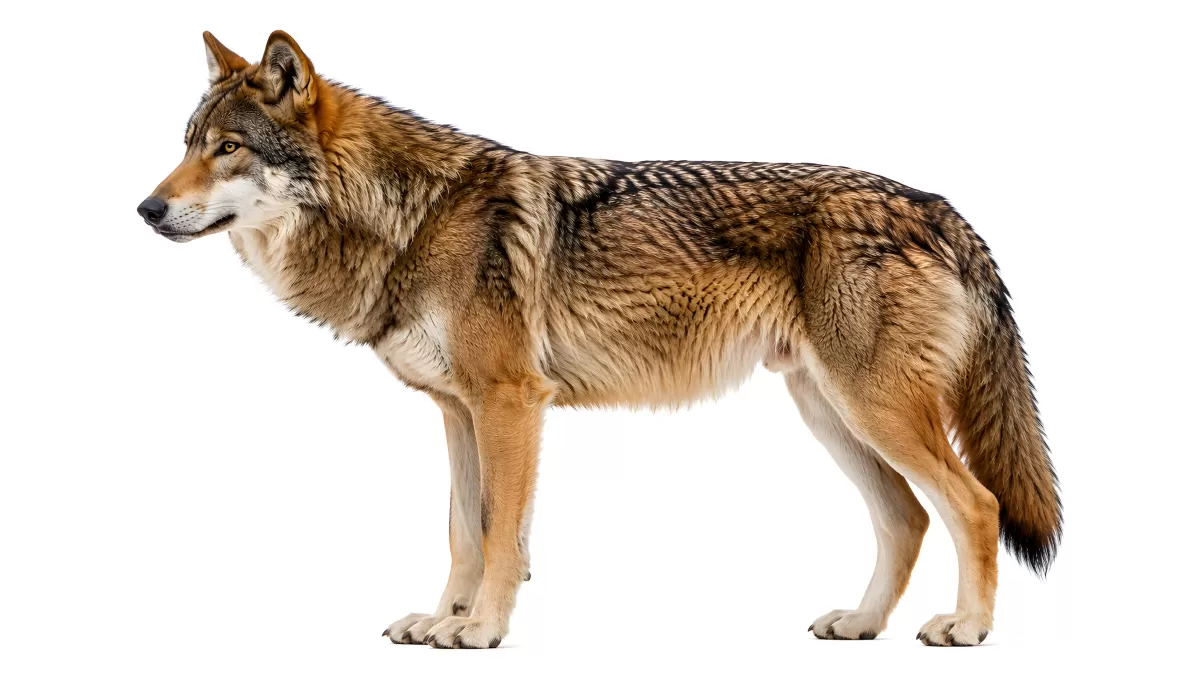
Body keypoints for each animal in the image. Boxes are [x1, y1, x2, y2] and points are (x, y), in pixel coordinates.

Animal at [138, 31, 1061, 649]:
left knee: (975, 503)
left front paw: (480, 631)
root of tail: (937, 204)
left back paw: (967, 627)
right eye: (185, 144)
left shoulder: (512, 402)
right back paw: (861, 622)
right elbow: (462, 531)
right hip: (829, 411)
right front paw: (441, 619)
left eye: (228, 148)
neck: (411, 217)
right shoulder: (457, 411)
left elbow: (500, 534)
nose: (146, 208)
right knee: (906, 516)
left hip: (872, 409)